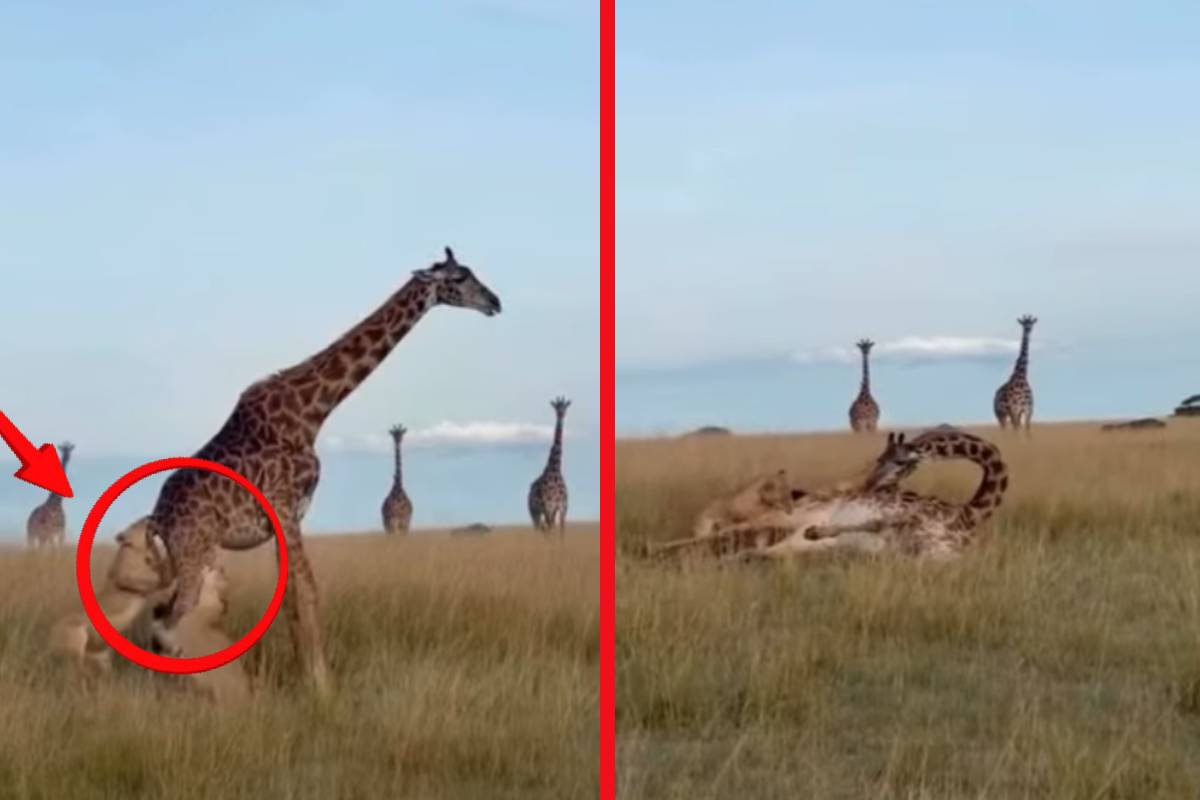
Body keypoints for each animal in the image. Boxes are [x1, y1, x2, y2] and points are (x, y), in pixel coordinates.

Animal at [147, 247, 500, 696]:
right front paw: (322, 685)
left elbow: (291, 600)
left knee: (164, 616)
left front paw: (309, 677)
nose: (494, 302)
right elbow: (308, 595)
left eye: (471, 272)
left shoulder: (290, 517)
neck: (312, 413)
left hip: (192, 554)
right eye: (458, 279)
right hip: (192, 552)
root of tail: (158, 517)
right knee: (172, 618)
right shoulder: (284, 509)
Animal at [529, 396, 570, 536]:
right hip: (534, 511)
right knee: (539, 529)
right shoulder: (548, 506)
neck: (555, 471)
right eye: (556, 408)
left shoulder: (562, 508)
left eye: (565, 407)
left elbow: (562, 531)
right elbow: (550, 529)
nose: (561, 416)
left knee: (544, 529)